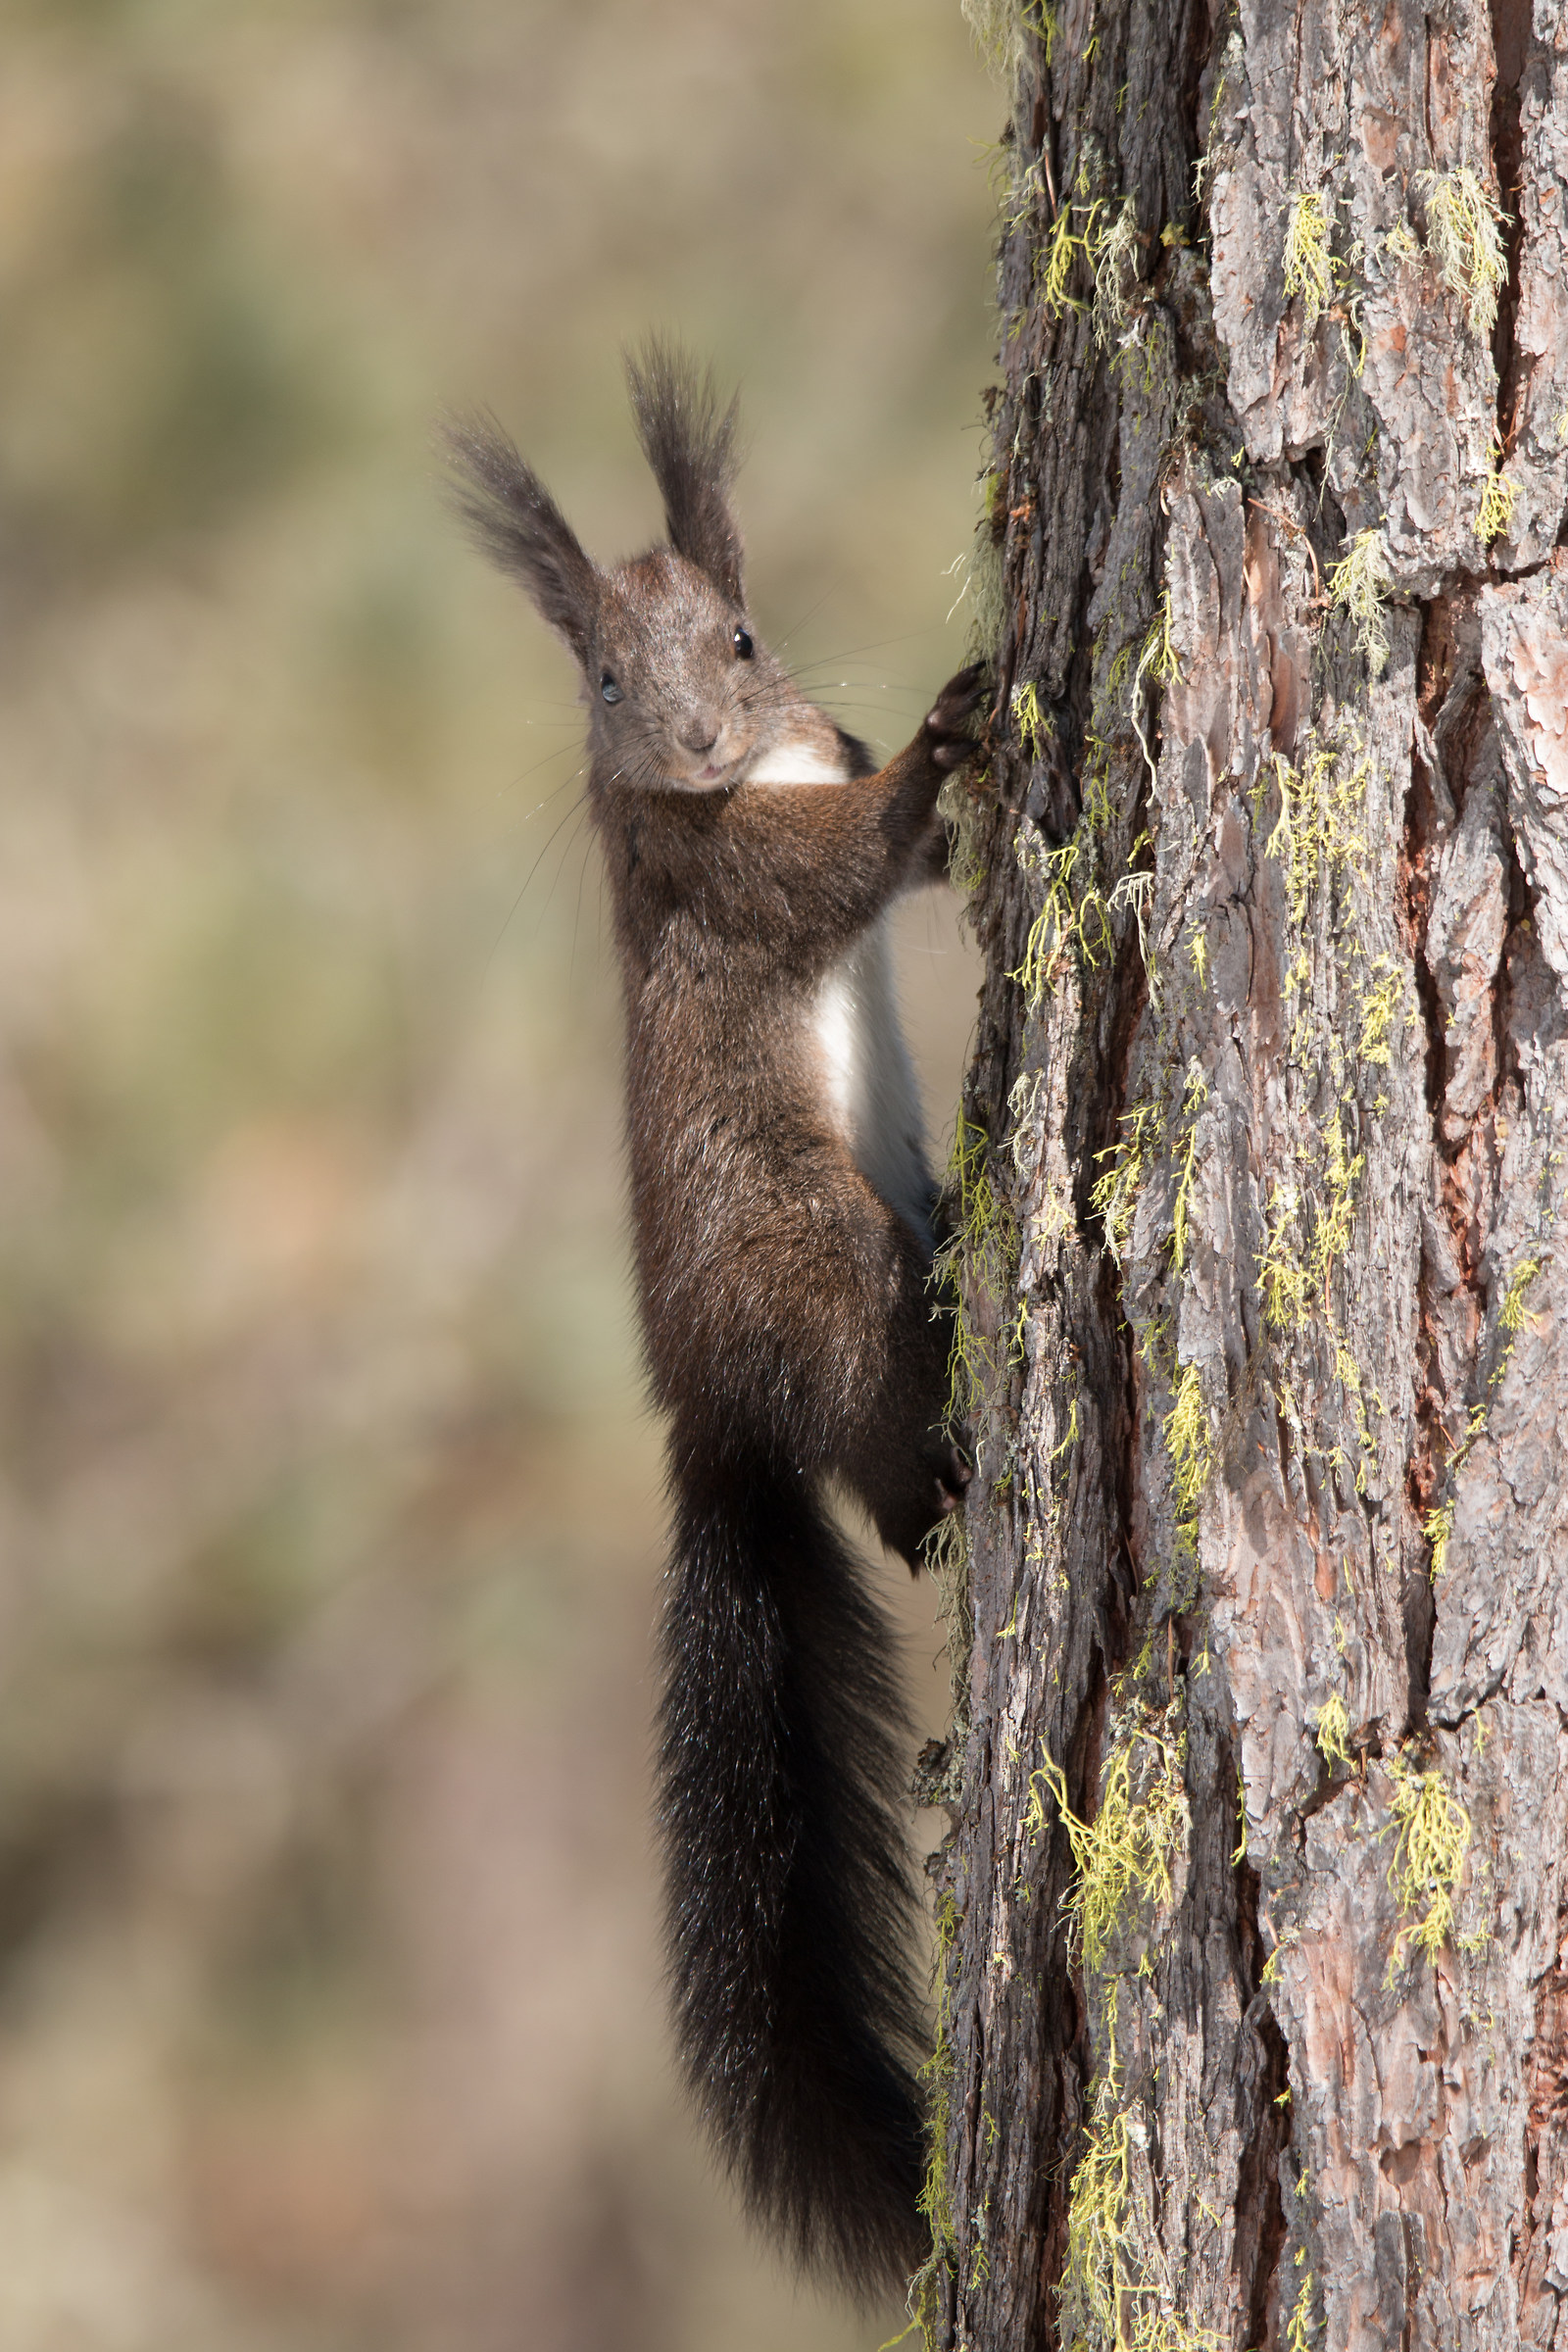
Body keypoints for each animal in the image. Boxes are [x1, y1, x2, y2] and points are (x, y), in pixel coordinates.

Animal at [448, 343, 981, 2300]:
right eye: (604, 676)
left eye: (743, 640)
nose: (685, 745)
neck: (748, 770)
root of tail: (711, 1415)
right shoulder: (715, 882)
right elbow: (836, 870)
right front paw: (954, 732)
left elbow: (904, 871)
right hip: (821, 1274)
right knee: (886, 1479)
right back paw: (948, 1483)